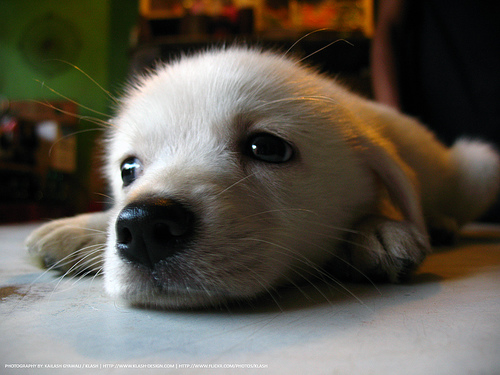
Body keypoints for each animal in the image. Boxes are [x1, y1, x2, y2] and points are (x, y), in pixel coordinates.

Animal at [27, 48, 500, 310]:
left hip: (480, 166)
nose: (144, 227)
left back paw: (439, 222)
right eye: (128, 169)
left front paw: (378, 231)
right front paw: (80, 228)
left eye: (267, 148)